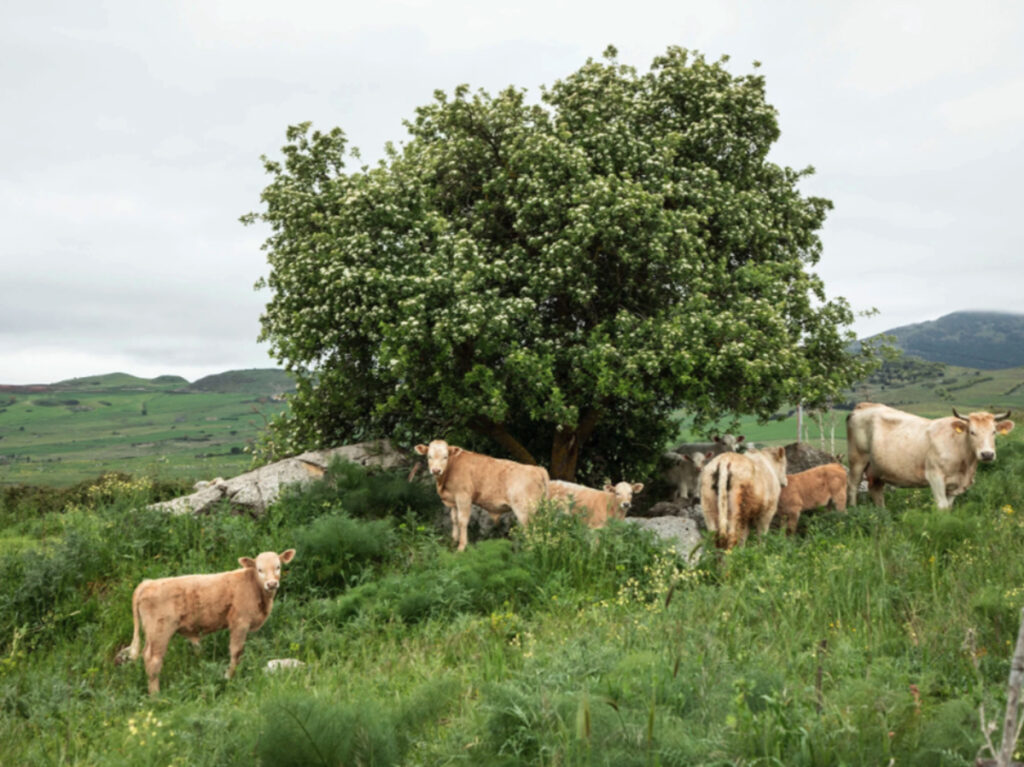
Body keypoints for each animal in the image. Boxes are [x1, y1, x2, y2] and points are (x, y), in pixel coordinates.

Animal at [121, 544, 296, 692]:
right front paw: (228, 677)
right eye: (259, 569)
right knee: (153, 660)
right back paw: (156, 696)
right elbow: (236, 651)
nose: (272, 584)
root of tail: (147, 583)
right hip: (160, 630)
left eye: (278, 567)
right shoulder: (240, 622)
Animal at [411, 436, 548, 548]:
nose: (436, 470)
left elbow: (462, 521)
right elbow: (454, 520)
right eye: (429, 456)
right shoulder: (453, 500)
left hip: (525, 510)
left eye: (445, 456)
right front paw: (453, 542)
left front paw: (461, 547)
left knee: (530, 531)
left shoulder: (463, 497)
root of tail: (537, 469)